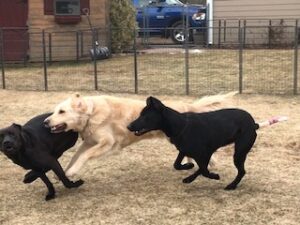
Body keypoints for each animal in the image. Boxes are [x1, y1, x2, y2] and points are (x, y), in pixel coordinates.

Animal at [127, 96, 288, 190]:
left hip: (240, 151)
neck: (180, 125)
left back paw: (231, 185)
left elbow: (204, 170)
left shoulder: (205, 152)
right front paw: (189, 167)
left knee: (241, 171)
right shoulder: (186, 150)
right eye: (140, 115)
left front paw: (214, 176)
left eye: (145, 117)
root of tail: (254, 124)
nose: (128, 126)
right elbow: (178, 164)